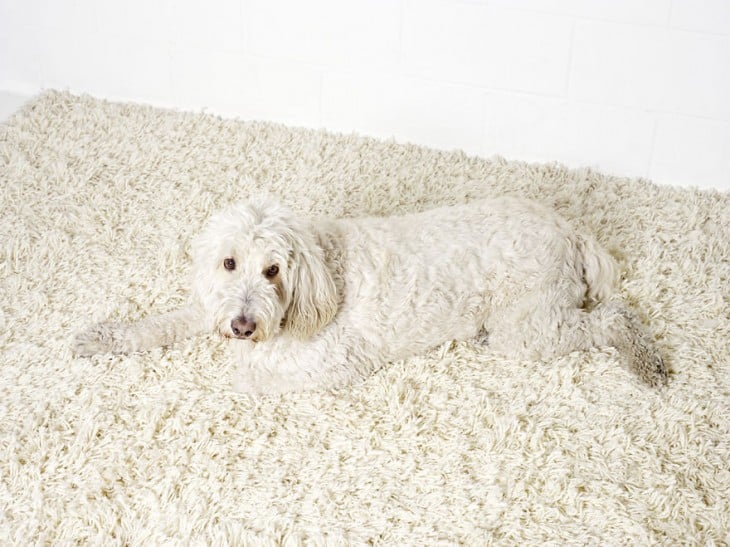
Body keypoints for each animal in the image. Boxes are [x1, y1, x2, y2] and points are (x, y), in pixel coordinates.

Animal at [74, 197, 664, 394]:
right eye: (229, 262)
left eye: (273, 270)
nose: (243, 326)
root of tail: (570, 229)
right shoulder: (212, 305)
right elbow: (166, 322)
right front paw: (104, 338)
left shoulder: (334, 363)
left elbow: (248, 379)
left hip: (525, 329)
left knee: (613, 319)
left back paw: (647, 361)